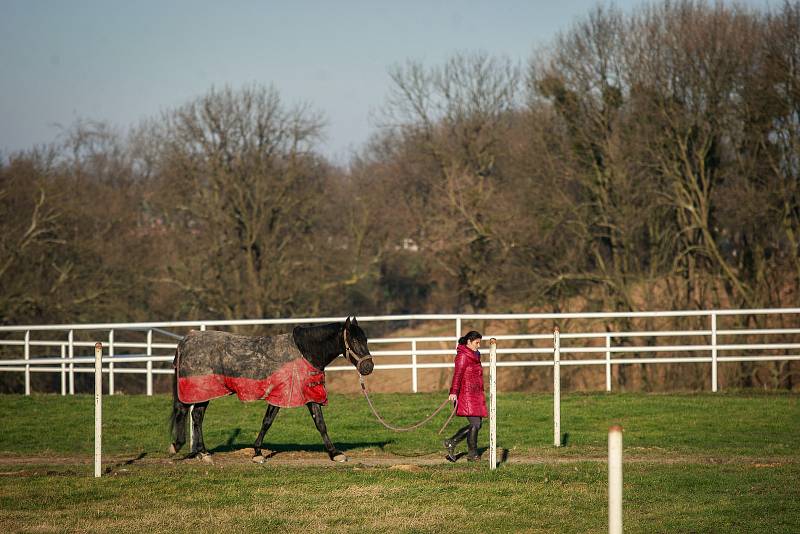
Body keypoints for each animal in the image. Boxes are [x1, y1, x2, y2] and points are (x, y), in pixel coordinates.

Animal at [169, 318, 376, 464]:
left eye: (365, 339)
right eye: (354, 339)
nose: (368, 367)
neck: (305, 352)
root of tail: (185, 341)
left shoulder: (309, 394)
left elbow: (320, 424)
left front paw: (334, 454)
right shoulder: (280, 395)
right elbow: (267, 422)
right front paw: (257, 453)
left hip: (205, 392)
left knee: (196, 415)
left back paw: (202, 453)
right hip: (201, 389)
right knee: (191, 414)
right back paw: (183, 448)